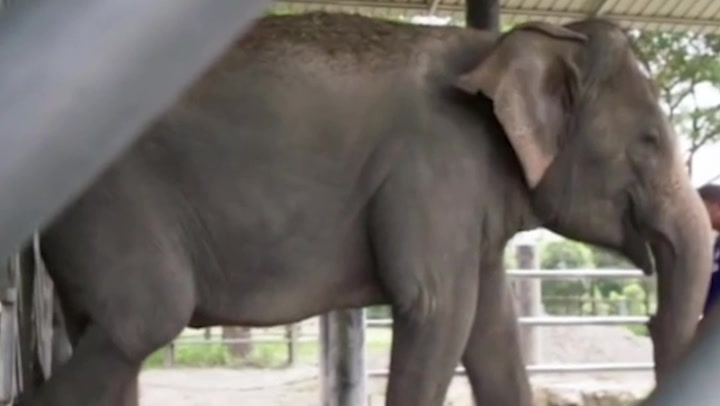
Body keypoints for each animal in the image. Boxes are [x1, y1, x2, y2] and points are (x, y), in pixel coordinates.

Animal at [15, 11, 713, 406]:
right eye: (651, 142)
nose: (648, 317)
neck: (496, 42)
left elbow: (491, 333)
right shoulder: (435, 167)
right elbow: (439, 311)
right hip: (110, 204)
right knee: (146, 320)